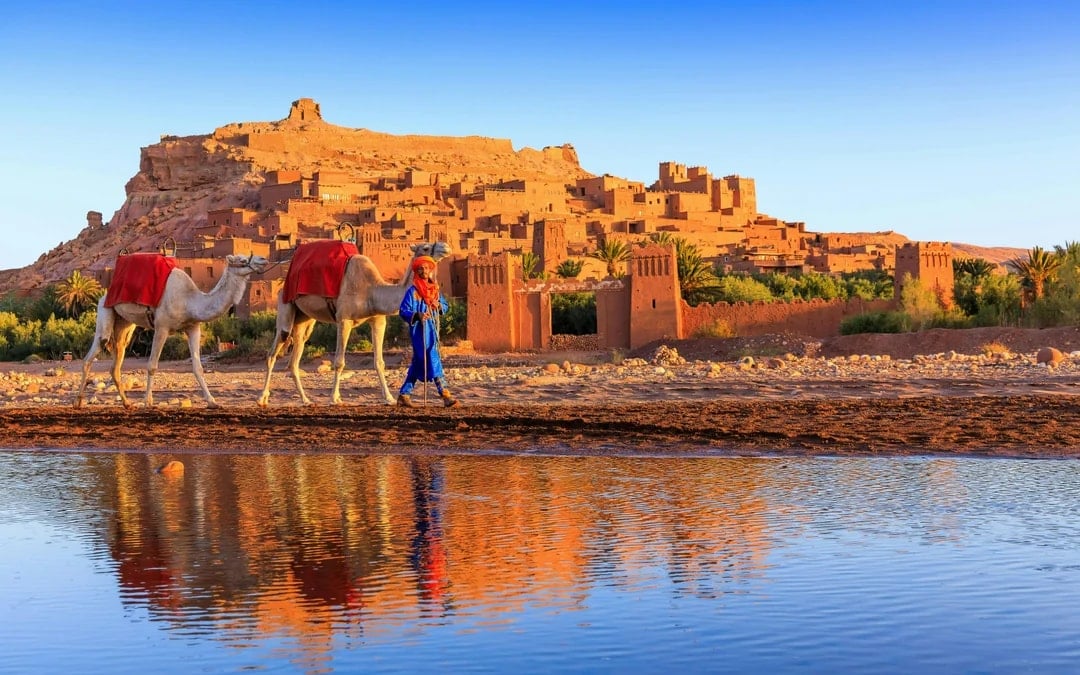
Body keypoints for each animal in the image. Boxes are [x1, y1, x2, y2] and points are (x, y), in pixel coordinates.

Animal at [76, 253, 269, 408]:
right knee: (92, 353)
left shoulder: (193, 327)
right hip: (105, 310)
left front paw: (212, 401)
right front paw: (148, 402)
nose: (263, 259)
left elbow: (198, 367)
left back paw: (127, 403)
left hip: (125, 324)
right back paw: (78, 402)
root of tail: (105, 294)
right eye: (242, 260)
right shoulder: (162, 327)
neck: (190, 300)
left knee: (116, 360)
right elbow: (152, 366)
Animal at [257, 241, 452, 406]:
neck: (372, 290)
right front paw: (335, 399)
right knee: (274, 350)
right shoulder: (344, 319)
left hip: (304, 317)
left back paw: (306, 400)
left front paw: (389, 398)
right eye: (425, 247)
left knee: (296, 354)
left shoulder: (378, 319)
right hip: (285, 304)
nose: (446, 247)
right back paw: (262, 399)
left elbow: (379, 362)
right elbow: (339, 362)